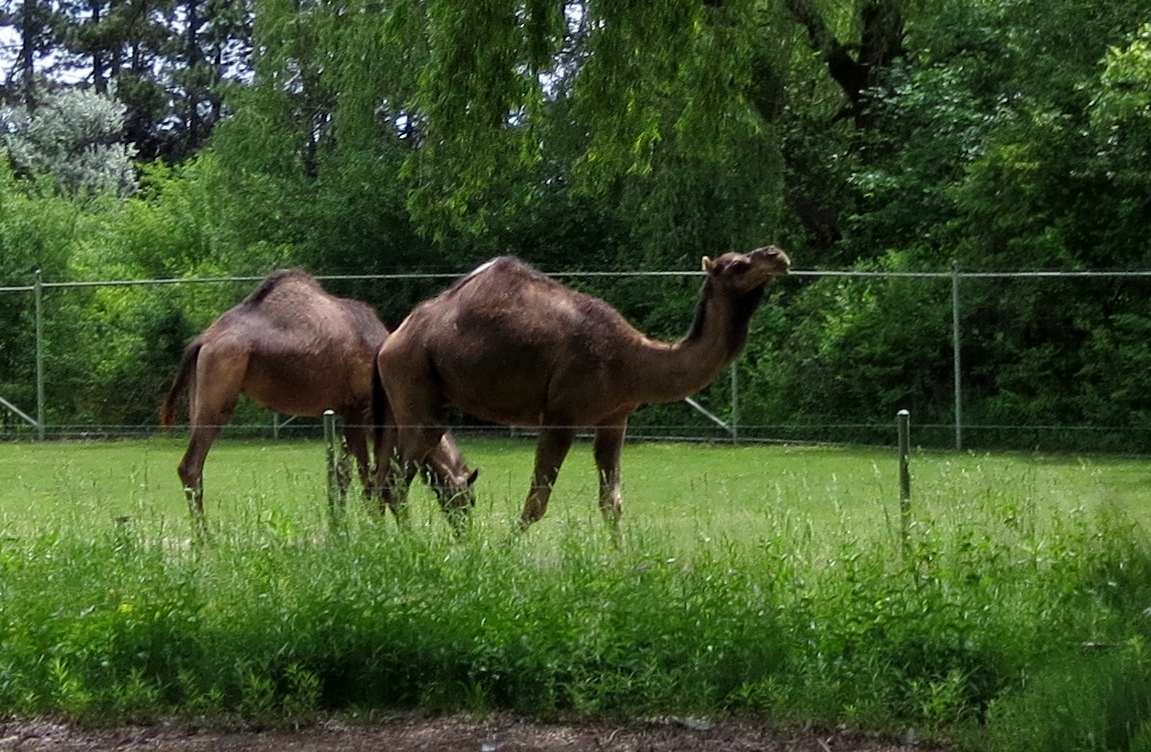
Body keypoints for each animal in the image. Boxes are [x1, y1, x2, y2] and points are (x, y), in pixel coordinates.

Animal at [160, 268, 476, 523]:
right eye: (467, 499)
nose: (464, 529)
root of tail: (201, 341)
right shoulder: (359, 409)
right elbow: (360, 475)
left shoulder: (346, 411)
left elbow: (349, 473)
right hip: (220, 387)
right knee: (192, 465)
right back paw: (205, 540)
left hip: (200, 391)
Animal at [375, 245, 790, 537]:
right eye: (735, 265)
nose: (776, 254)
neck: (630, 360)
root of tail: (390, 343)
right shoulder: (561, 416)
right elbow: (536, 503)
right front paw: (503, 553)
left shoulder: (615, 418)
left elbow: (612, 502)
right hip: (414, 382)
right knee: (395, 481)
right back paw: (408, 543)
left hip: (408, 401)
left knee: (385, 475)